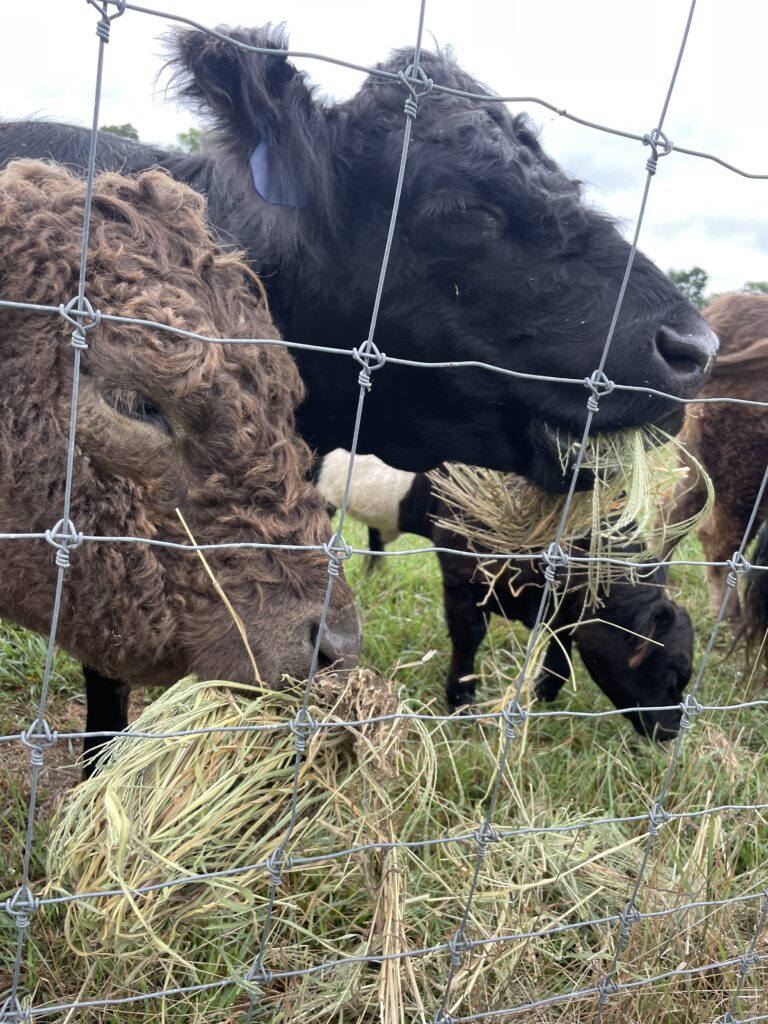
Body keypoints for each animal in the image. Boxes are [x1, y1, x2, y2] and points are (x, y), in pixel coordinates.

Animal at [315, 452, 696, 741]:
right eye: (670, 676)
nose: (672, 731)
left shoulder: (559, 602)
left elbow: (560, 651)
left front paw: (542, 694)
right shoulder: (462, 573)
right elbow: (469, 637)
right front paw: (462, 704)